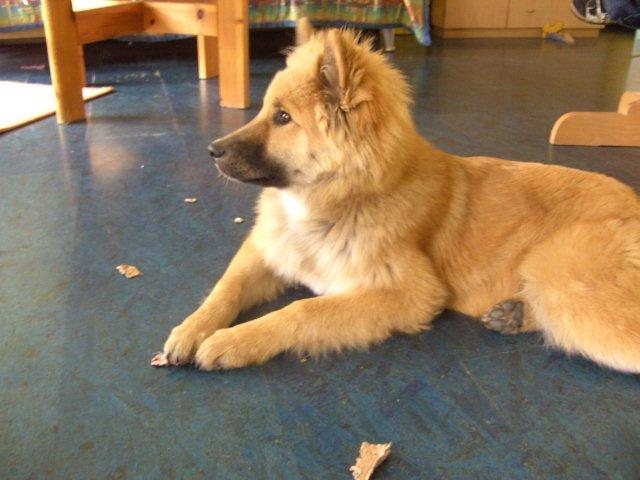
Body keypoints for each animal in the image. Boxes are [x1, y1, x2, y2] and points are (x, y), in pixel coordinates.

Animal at [162, 18, 640, 374]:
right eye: (265, 109)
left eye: (283, 118)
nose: (212, 150)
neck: (342, 198)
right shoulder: (267, 251)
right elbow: (225, 287)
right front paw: (192, 328)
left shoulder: (410, 294)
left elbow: (302, 311)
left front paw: (235, 340)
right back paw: (515, 314)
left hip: (563, 278)